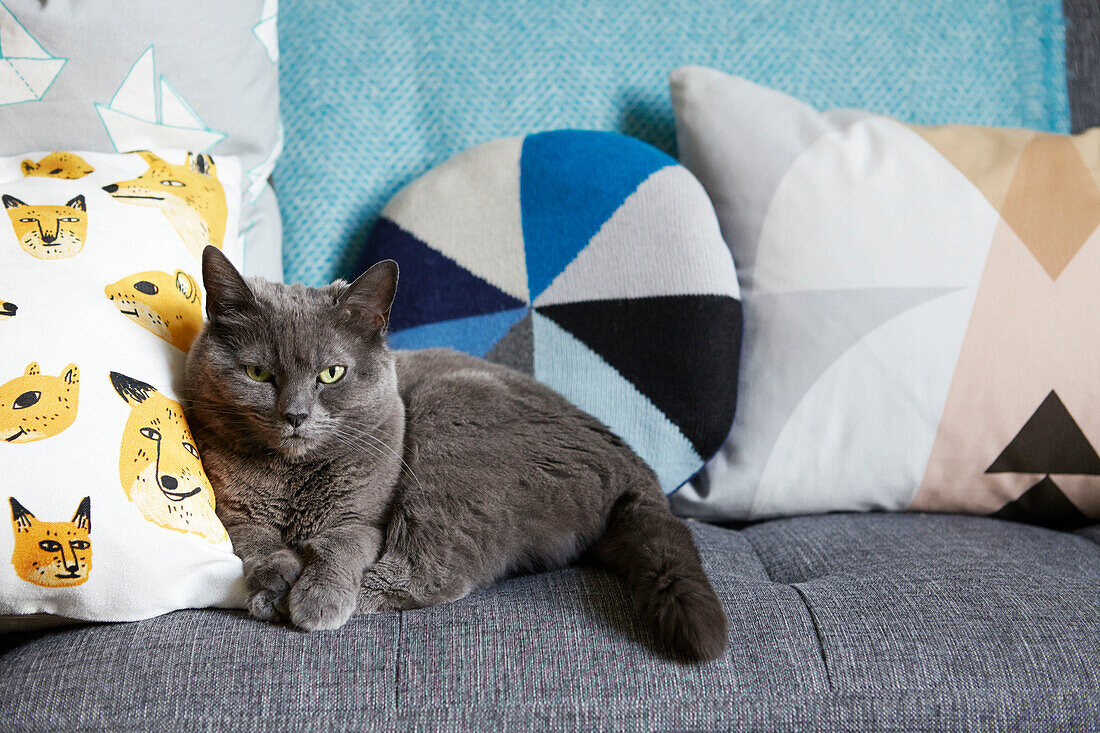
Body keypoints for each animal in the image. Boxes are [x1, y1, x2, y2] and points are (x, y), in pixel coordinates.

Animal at [183, 246, 726, 660]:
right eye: (258, 373)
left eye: (331, 374)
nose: (295, 415)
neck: (292, 474)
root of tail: (635, 467)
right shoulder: (233, 511)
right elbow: (255, 544)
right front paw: (276, 579)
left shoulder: (363, 519)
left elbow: (342, 545)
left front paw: (311, 597)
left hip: (448, 421)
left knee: (436, 572)